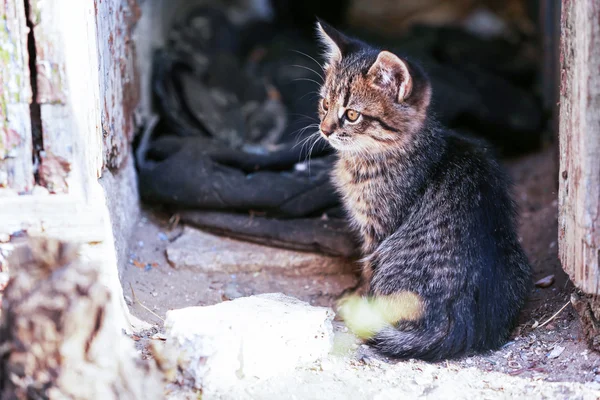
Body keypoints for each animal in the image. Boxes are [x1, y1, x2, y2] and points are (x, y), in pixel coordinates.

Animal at [314, 20, 528, 360]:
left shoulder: (378, 230)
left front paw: (357, 297)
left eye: (352, 115)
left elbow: (367, 272)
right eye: (324, 104)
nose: (324, 129)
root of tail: (461, 325)